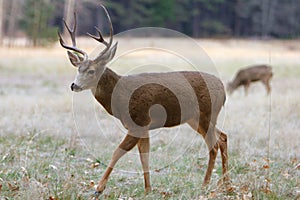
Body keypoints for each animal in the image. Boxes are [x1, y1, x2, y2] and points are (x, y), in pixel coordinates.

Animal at [57, 5, 229, 198]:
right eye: (78, 68)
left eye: (92, 71)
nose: (74, 85)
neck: (120, 97)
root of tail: (223, 89)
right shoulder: (144, 127)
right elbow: (144, 156)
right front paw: (148, 189)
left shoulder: (139, 122)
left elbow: (118, 152)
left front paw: (98, 189)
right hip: (196, 118)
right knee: (223, 137)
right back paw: (226, 185)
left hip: (206, 113)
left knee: (214, 145)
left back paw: (205, 185)